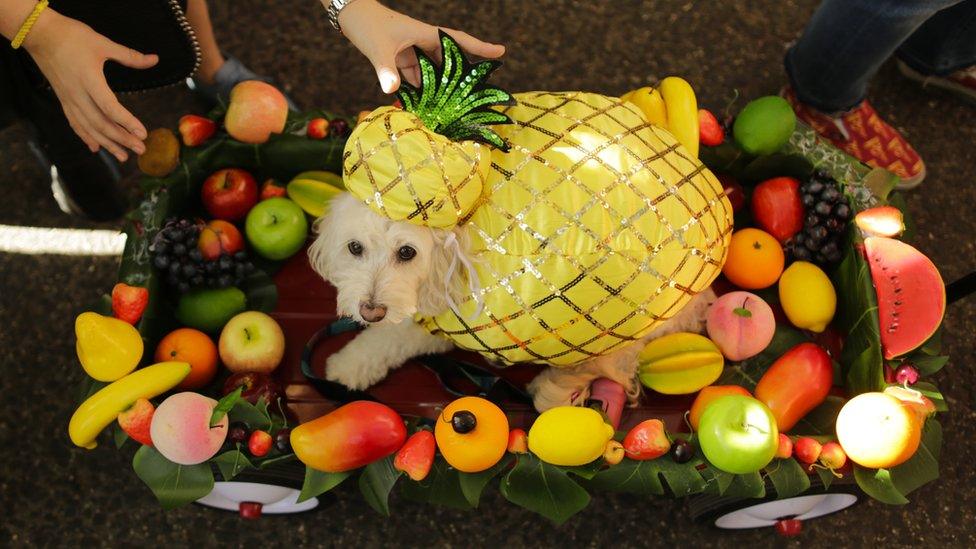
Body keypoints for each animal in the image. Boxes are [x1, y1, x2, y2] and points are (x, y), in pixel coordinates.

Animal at [308, 193, 712, 412]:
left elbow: (392, 337)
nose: (370, 309)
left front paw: (347, 364)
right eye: (354, 248)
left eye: (407, 252)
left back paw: (557, 386)